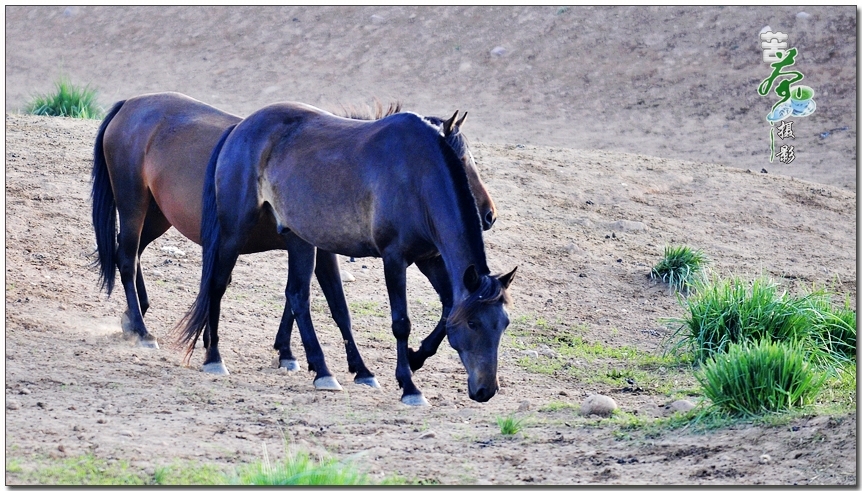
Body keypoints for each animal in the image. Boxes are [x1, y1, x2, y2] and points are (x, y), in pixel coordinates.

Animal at [93, 93, 500, 388]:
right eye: (461, 159)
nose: (488, 215)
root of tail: (130, 104)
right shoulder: (374, 252)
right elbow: (341, 307)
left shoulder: (323, 247)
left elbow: (329, 305)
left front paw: (300, 355)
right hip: (150, 210)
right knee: (139, 261)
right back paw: (155, 334)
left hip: (159, 217)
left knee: (132, 254)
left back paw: (137, 316)